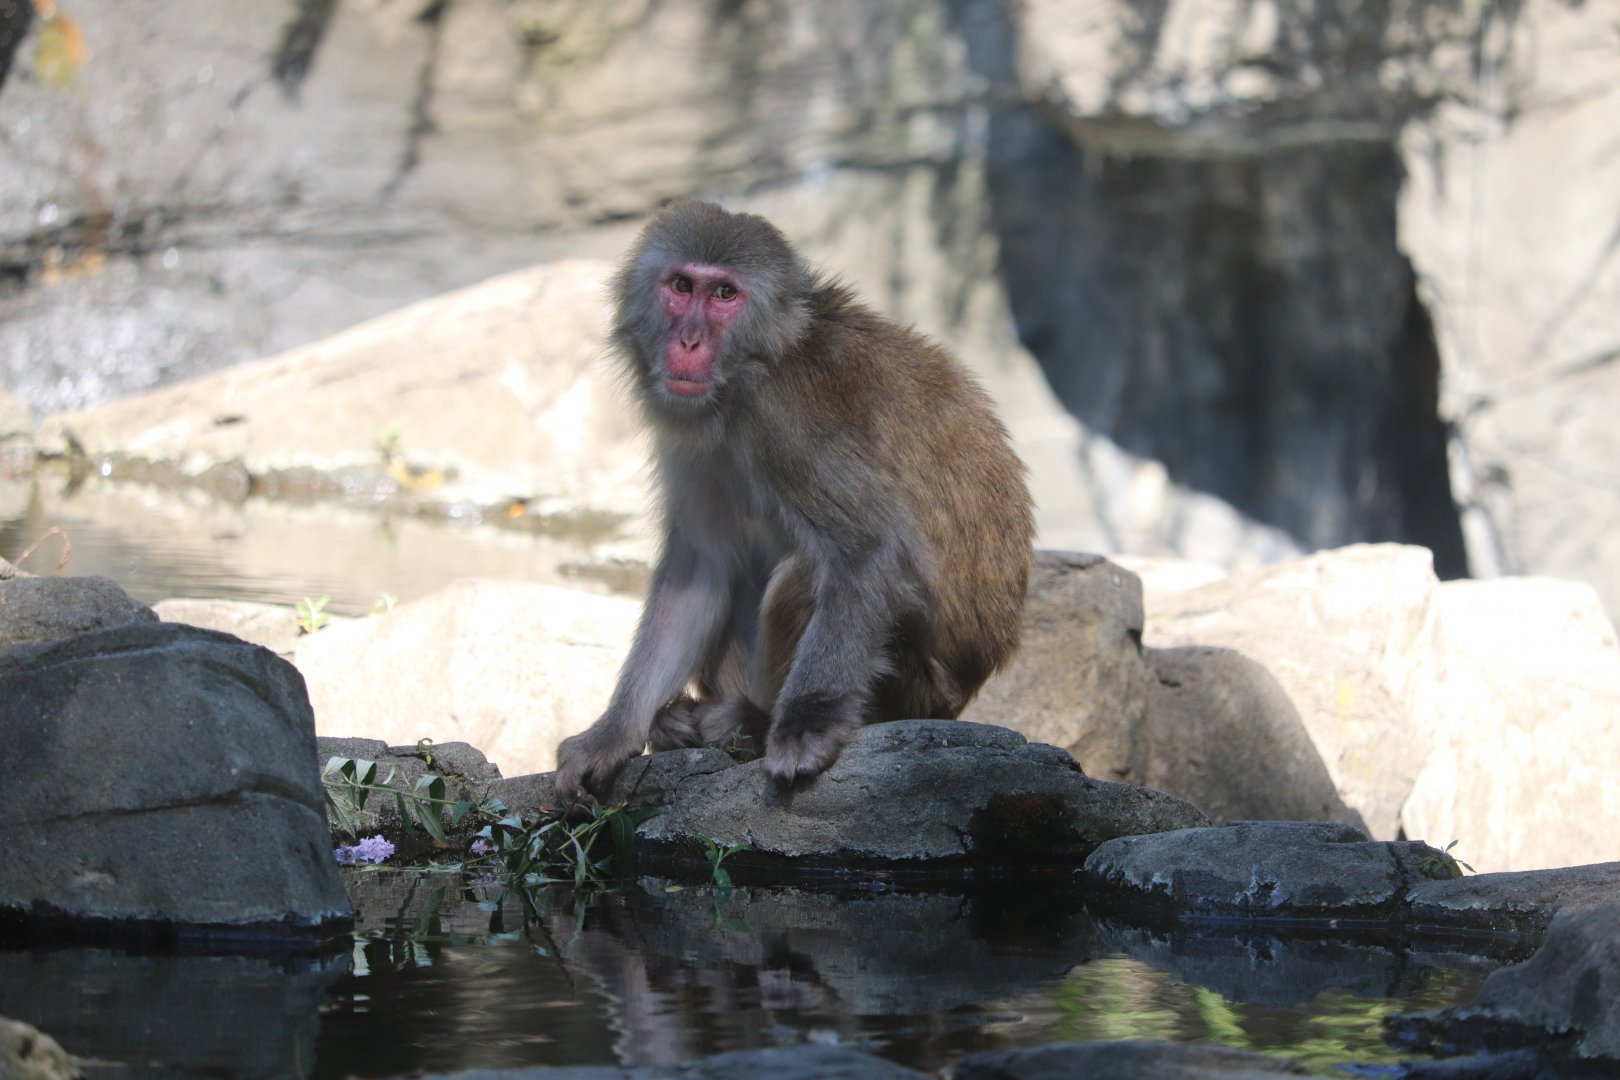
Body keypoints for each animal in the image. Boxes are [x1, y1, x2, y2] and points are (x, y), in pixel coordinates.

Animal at [554, 200, 1034, 802]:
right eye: (682, 286)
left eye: (724, 294)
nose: (688, 342)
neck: (756, 370)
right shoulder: (693, 435)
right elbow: (700, 569)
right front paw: (613, 733)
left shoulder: (793, 420)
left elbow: (869, 549)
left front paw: (807, 724)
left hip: (911, 689)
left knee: (805, 572)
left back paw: (756, 723)